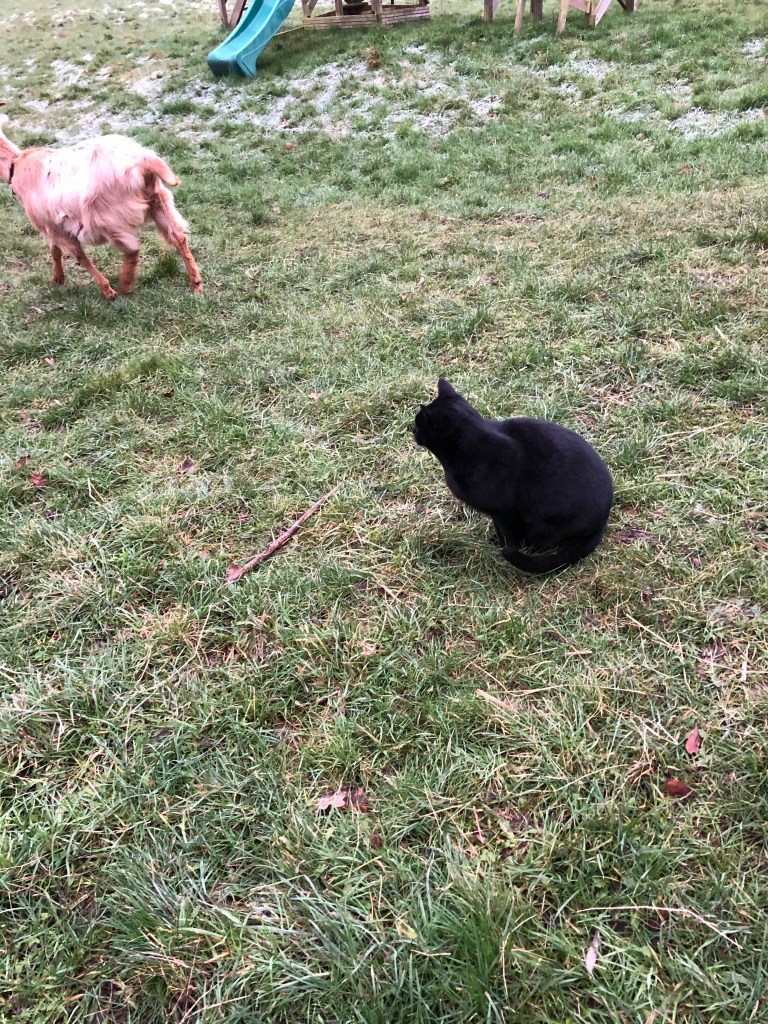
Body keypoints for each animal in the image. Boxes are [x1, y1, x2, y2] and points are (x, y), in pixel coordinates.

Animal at [0, 118, 202, 300]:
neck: (17, 165)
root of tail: (143, 161)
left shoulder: (54, 227)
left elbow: (79, 256)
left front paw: (107, 291)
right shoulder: (54, 225)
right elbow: (55, 251)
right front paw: (57, 278)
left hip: (108, 217)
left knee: (133, 248)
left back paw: (125, 285)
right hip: (158, 202)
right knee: (179, 238)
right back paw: (196, 284)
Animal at [413, 378, 613, 574]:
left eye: (418, 424)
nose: (411, 430)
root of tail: (602, 522)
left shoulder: (505, 513)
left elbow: (509, 537)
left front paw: (503, 549)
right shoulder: (497, 515)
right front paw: (494, 541)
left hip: (545, 522)